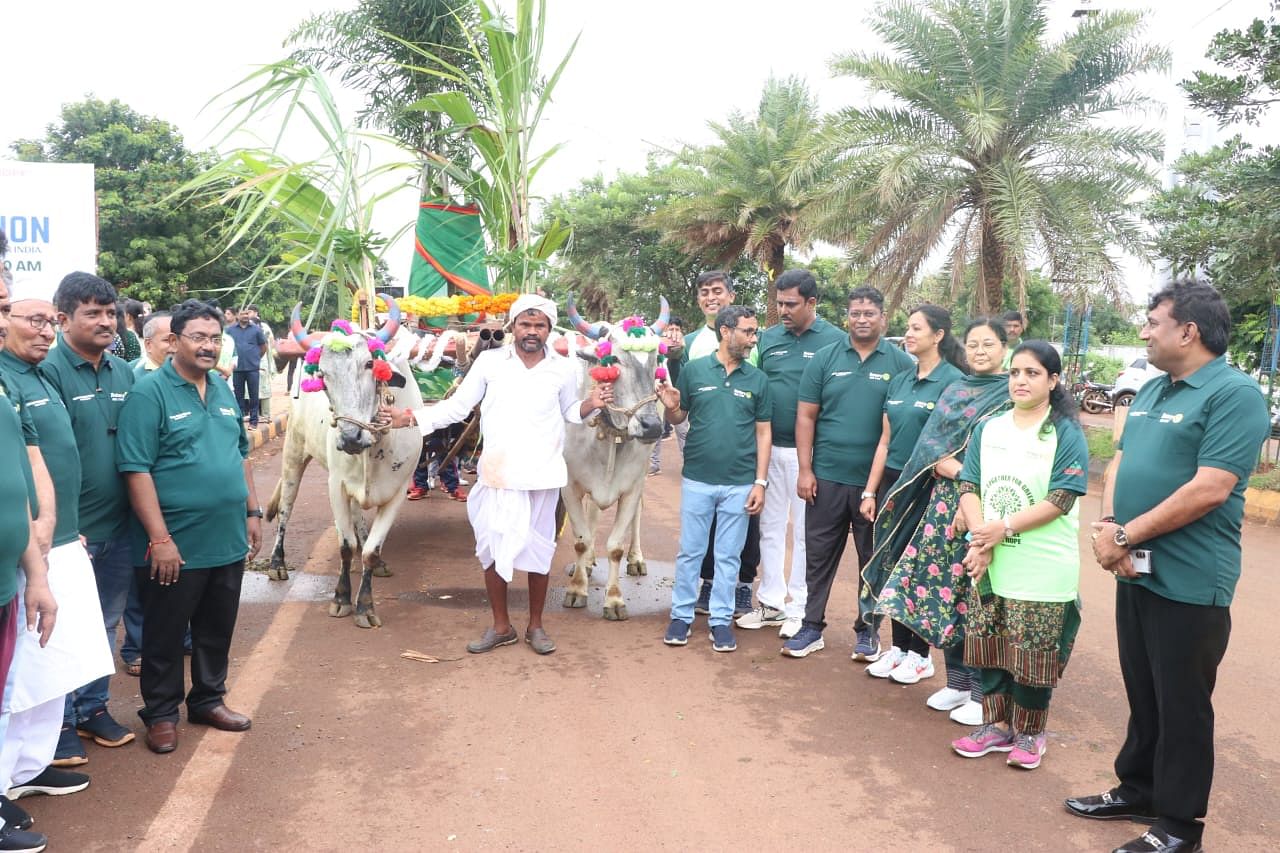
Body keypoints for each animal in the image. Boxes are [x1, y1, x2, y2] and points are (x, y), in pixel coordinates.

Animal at [264, 295, 424, 627]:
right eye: (322, 375)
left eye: (369, 364)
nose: (350, 438)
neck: (374, 449)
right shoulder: (335, 485)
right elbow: (345, 546)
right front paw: (341, 598)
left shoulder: (399, 492)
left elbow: (370, 551)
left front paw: (365, 605)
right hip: (293, 452)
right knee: (286, 509)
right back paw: (276, 563)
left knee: (358, 518)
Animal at [560, 294, 670, 617]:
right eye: (616, 360)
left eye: (656, 362)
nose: (652, 426)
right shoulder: (569, 487)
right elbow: (581, 540)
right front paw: (577, 589)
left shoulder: (631, 487)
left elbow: (616, 546)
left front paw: (614, 599)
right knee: (592, 517)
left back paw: (637, 559)